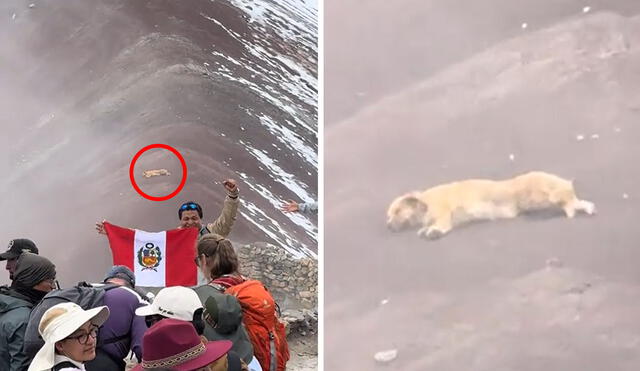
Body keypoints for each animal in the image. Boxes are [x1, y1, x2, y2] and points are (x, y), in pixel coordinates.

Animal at [388, 172, 596, 241]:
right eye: (388, 215)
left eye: (397, 211)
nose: (388, 226)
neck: (424, 202)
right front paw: (425, 229)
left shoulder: (442, 209)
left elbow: (441, 222)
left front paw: (434, 230)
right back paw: (584, 206)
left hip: (538, 192)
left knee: (564, 195)